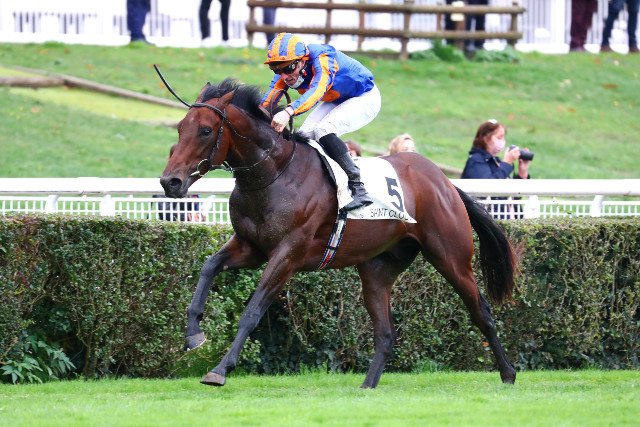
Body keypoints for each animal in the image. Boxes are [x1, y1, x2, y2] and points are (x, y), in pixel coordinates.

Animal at [158, 77, 518, 389]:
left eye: (206, 130)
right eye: (180, 127)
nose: (170, 182)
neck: (275, 174)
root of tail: (445, 182)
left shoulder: (287, 254)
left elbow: (253, 311)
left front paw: (220, 369)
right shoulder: (251, 247)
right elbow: (209, 267)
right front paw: (194, 334)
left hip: (451, 258)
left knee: (482, 312)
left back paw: (508, 373)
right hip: (377, 270)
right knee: (386, 333)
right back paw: (367, 385)